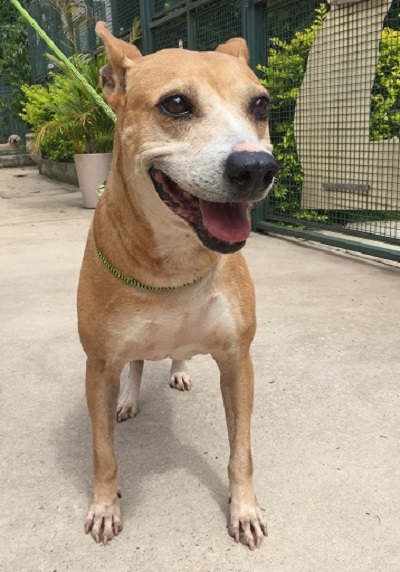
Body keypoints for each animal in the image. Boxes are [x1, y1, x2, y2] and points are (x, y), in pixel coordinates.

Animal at [77, 22, 278, 548]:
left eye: (261, 105)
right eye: (176, 105)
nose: (256, 168)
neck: (174, 263)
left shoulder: (238, 362)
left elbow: (241, 451)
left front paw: (244, 509)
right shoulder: (98, 366)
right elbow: (103, 453)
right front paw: (104, 506)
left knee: (175, 354)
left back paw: (180, 369)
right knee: (136, 365)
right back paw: (130, 398)